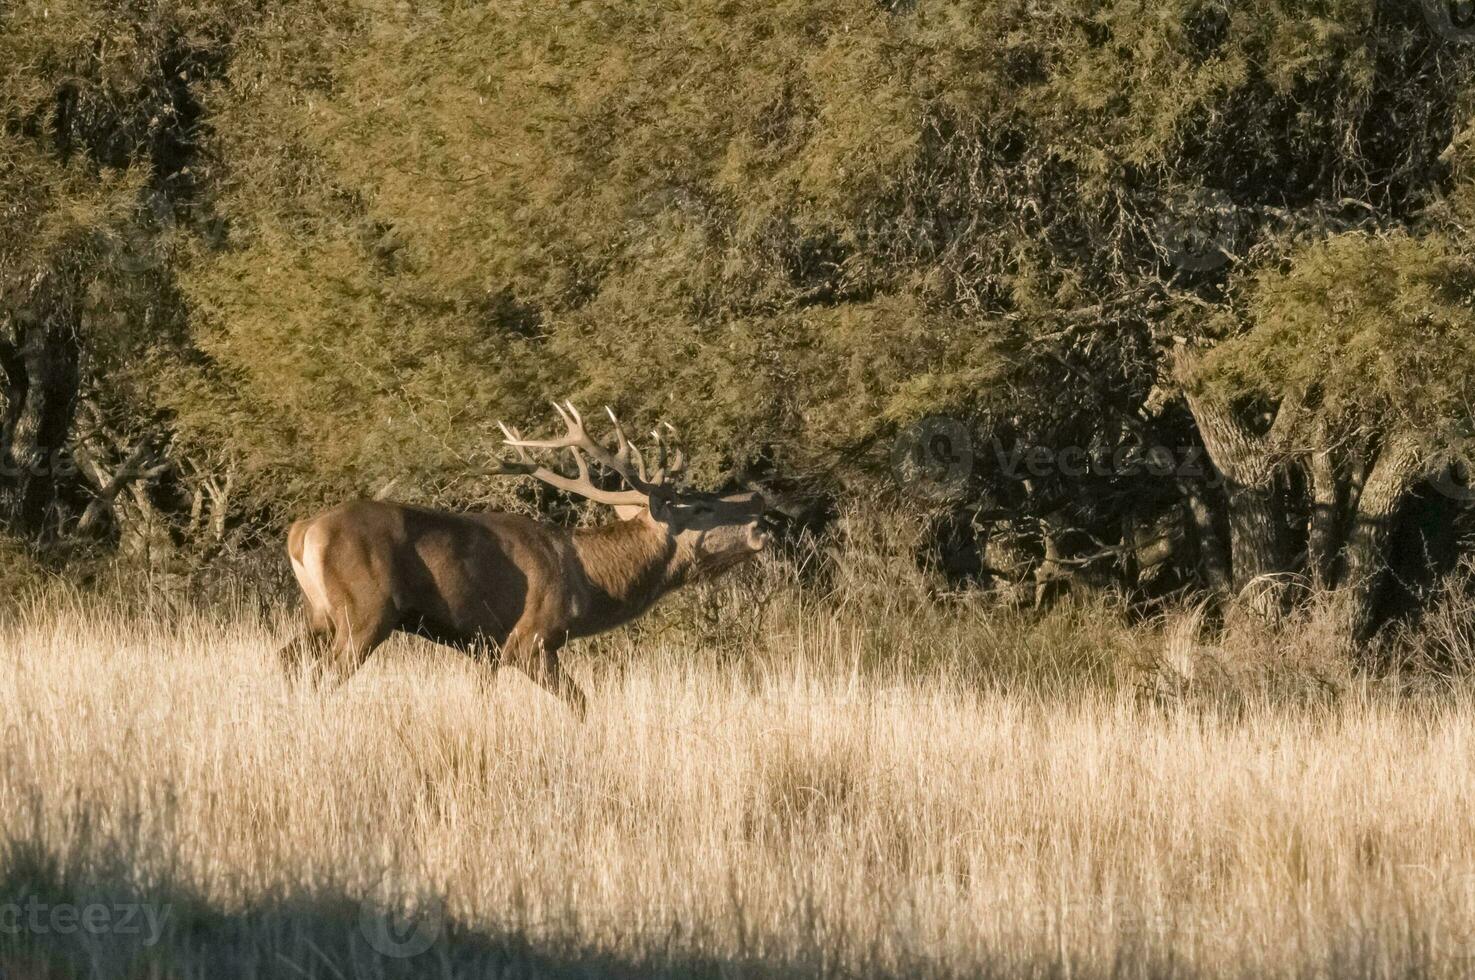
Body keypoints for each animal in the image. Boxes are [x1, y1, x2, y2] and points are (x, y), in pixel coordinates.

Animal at [272, 401, 772, 717]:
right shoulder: (529, 638)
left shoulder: (485, 648)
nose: (761, 519)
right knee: (324, 673)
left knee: (286, 657)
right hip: (364, 611)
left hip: (321, 612)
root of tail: (302, 532)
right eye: (701, 507)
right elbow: (581, 704)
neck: (589, 581)